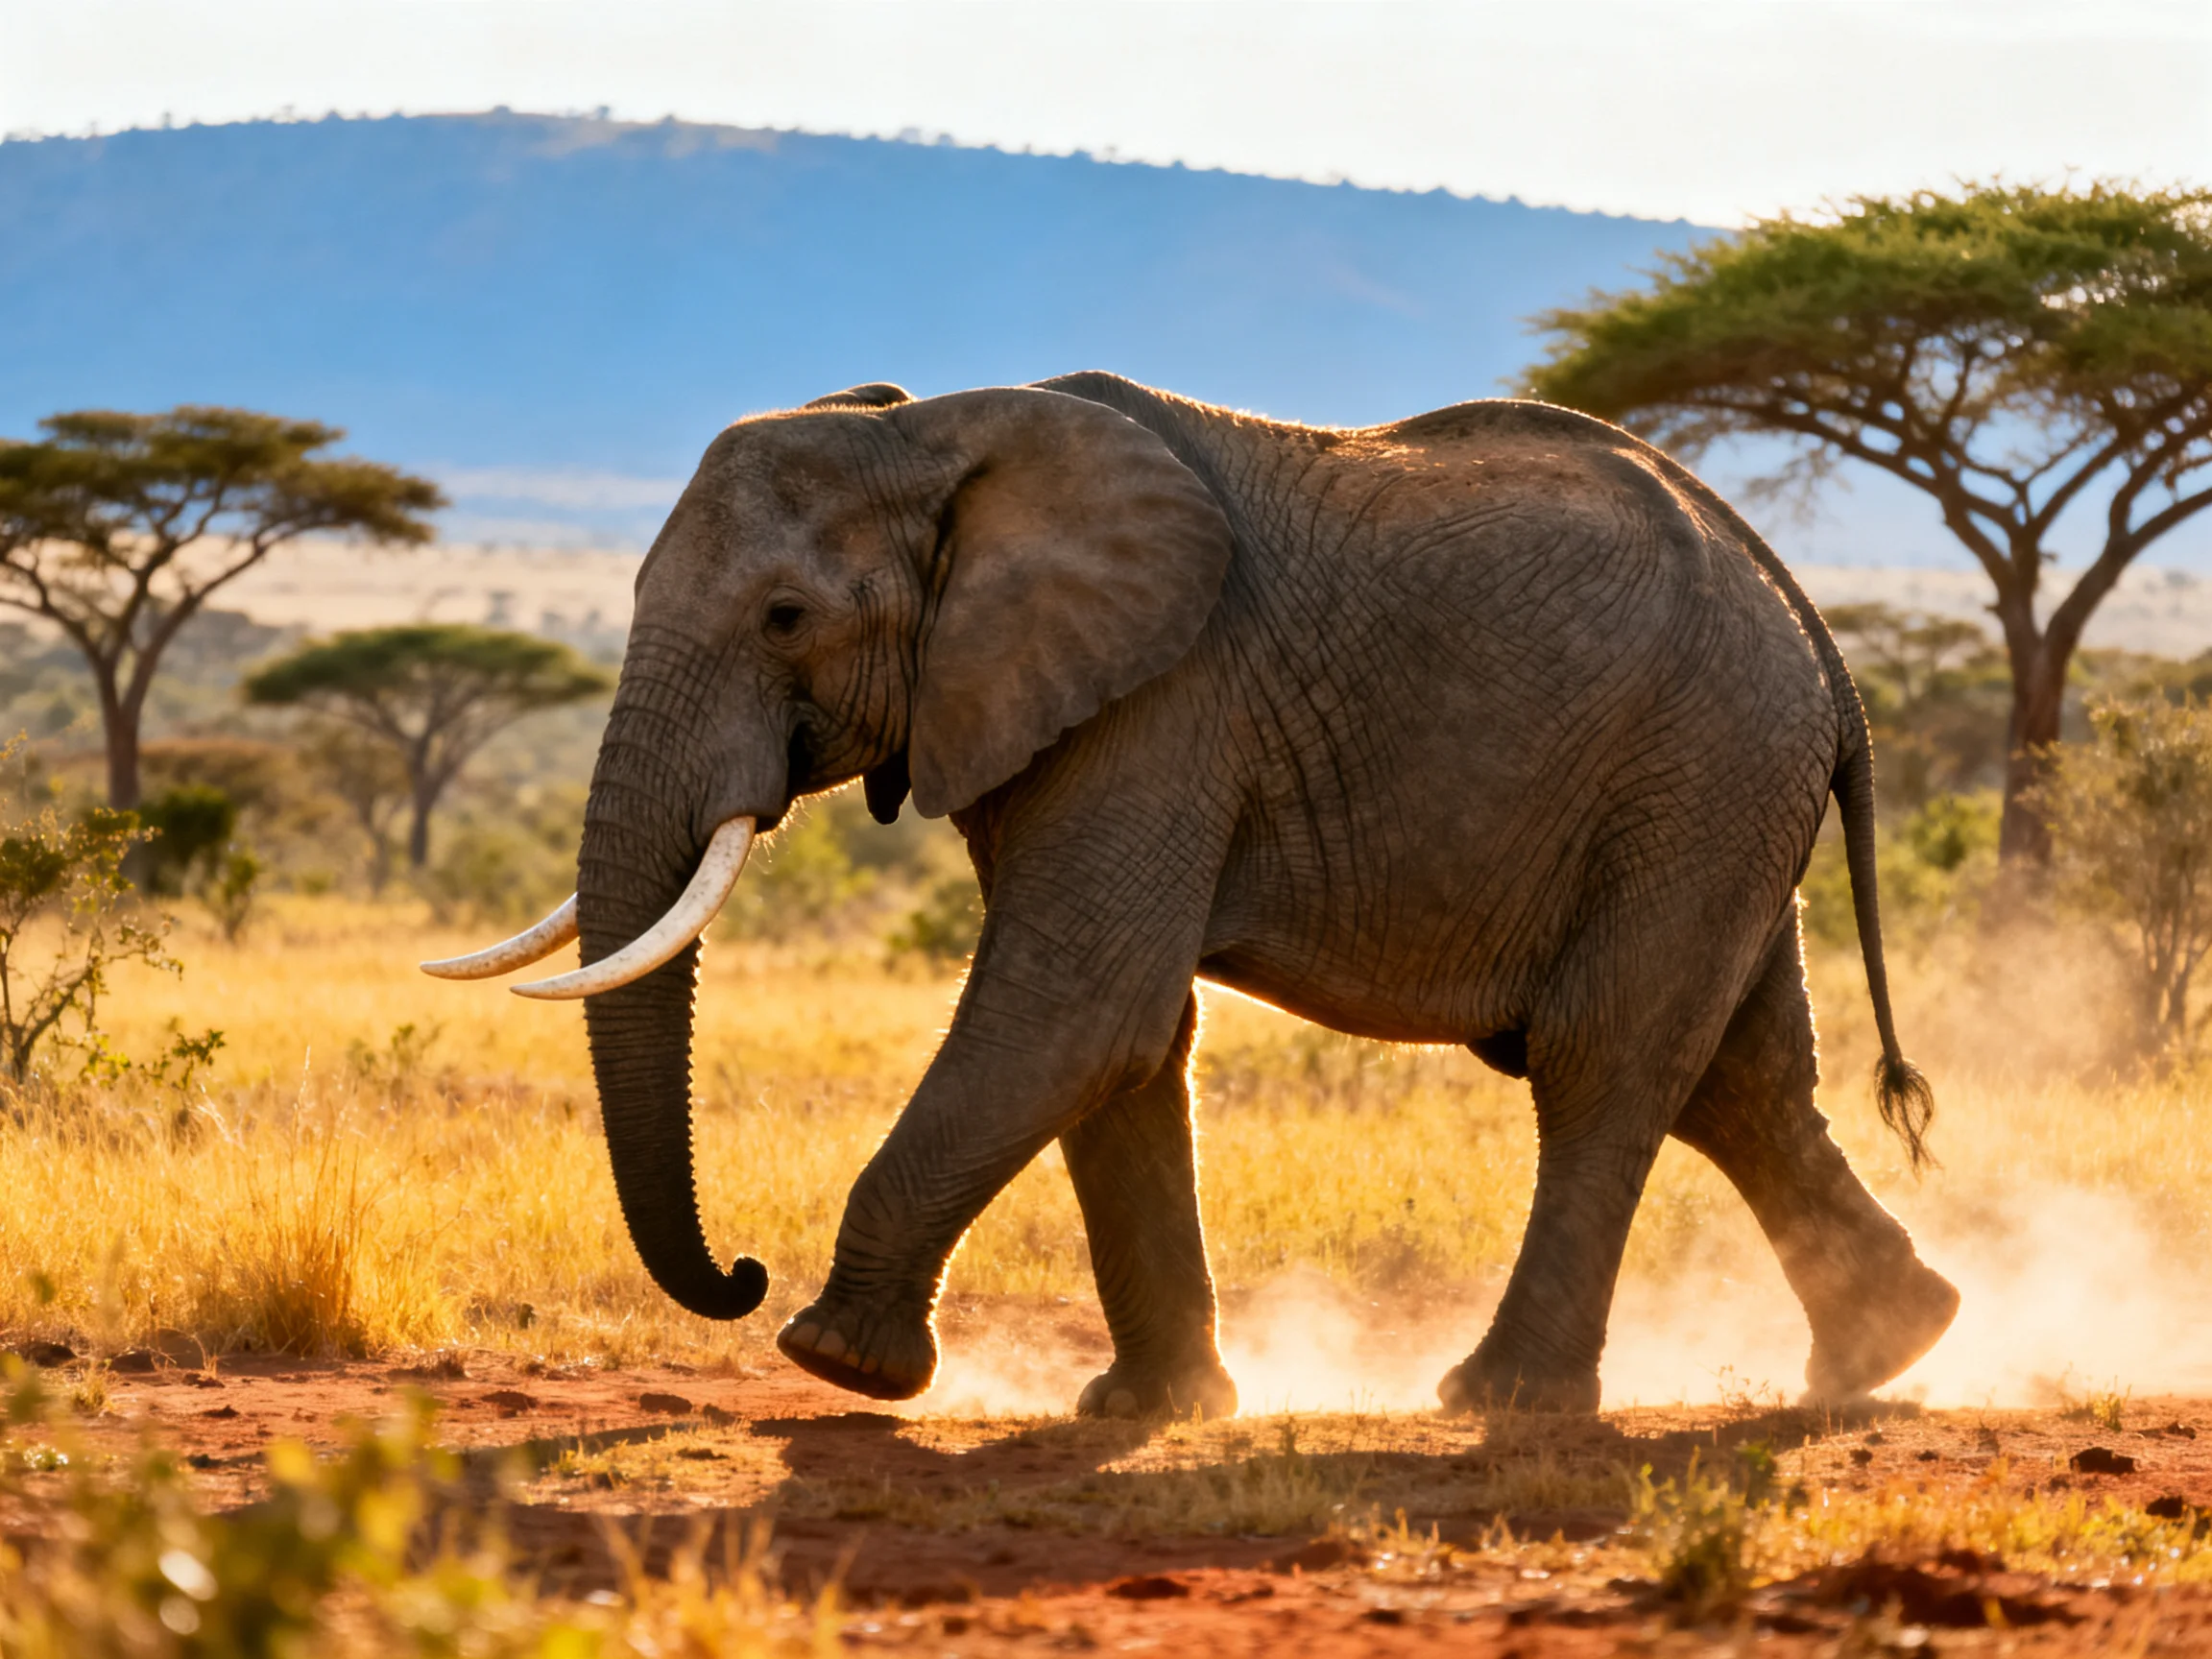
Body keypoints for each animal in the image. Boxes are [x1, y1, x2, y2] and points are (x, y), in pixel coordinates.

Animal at [427, 371, 1960, 1418]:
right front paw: (1148, 1414)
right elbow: (1130, 1036)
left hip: (1698, 769)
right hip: (1720, 795)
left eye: (786, 618)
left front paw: (836, 1364)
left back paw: (1499, 1402)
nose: (740, 1274)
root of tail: (1811, 626)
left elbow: (1075, 1006)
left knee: (1606, 1059)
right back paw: (1895, 1347)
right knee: (1738, 1080)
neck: (937, 431)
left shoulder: (1164, 699)